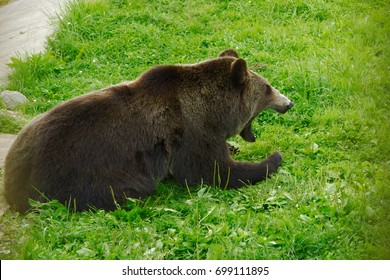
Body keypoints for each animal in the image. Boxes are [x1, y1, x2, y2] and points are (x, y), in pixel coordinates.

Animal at [3, 50, 292, 212]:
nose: (288, 103)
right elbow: (213, 171)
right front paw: (272, 158)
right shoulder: (189, 133)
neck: (214, 110)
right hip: (75, 172)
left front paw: (236, 147)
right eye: (268, 88)